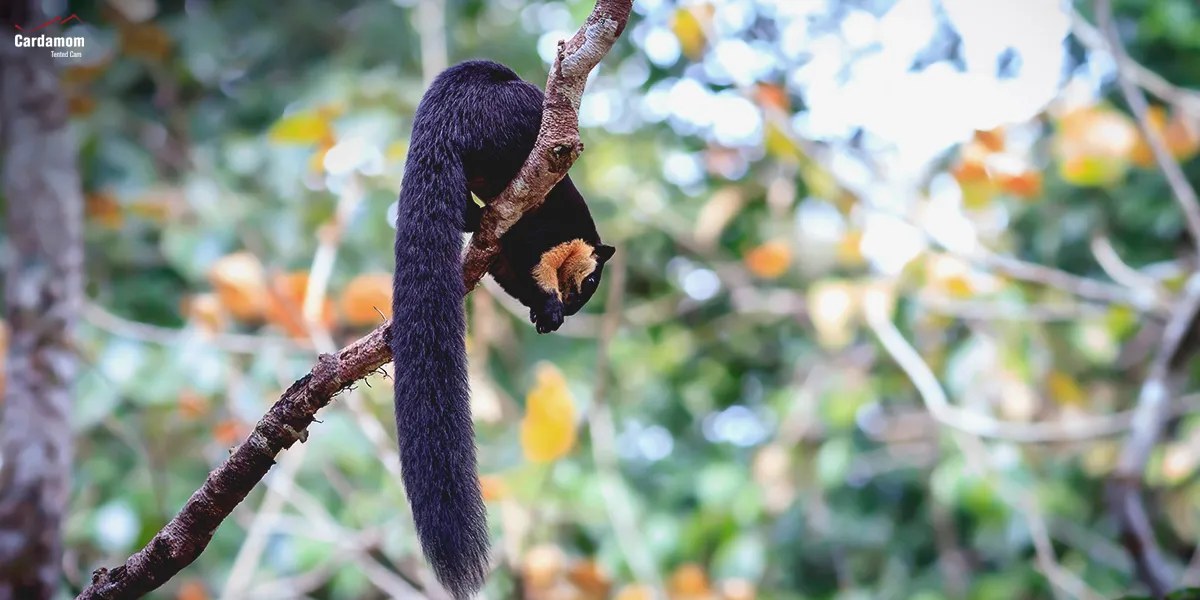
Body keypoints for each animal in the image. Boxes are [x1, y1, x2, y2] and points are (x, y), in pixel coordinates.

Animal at [390, 60, 614, 599]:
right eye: (591, 282)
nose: (573, 309)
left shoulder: (510, 257)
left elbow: (516, 276)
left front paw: (542, 315)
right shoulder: (540, 238)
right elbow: (536, 269)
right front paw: (549, 309)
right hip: (511, 126)